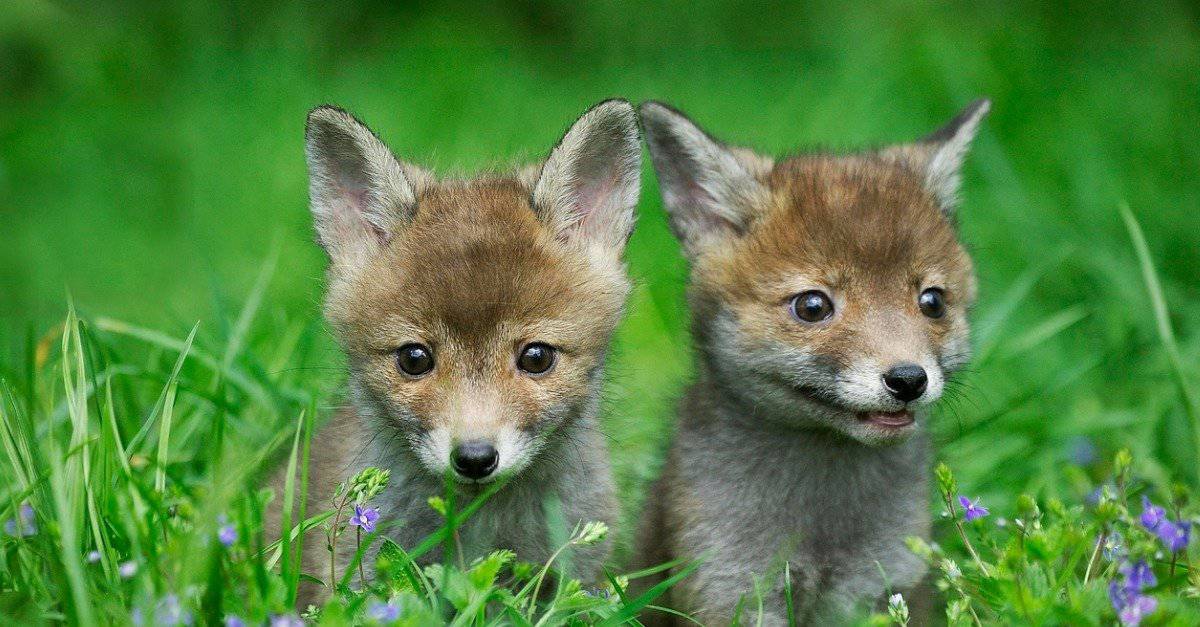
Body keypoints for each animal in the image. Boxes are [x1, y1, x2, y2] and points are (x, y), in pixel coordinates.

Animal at [267, 99, 642, 605]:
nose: (476, 458)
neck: (479, 525)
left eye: (536, 358)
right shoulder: (354, 576)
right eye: (414, 359)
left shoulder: (577, 577)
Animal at [635, 99, 990, 624]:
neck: (823, 521)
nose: (908, 379)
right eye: (812, 306)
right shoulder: (731, 585)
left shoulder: (889, 584)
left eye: (932, 302)